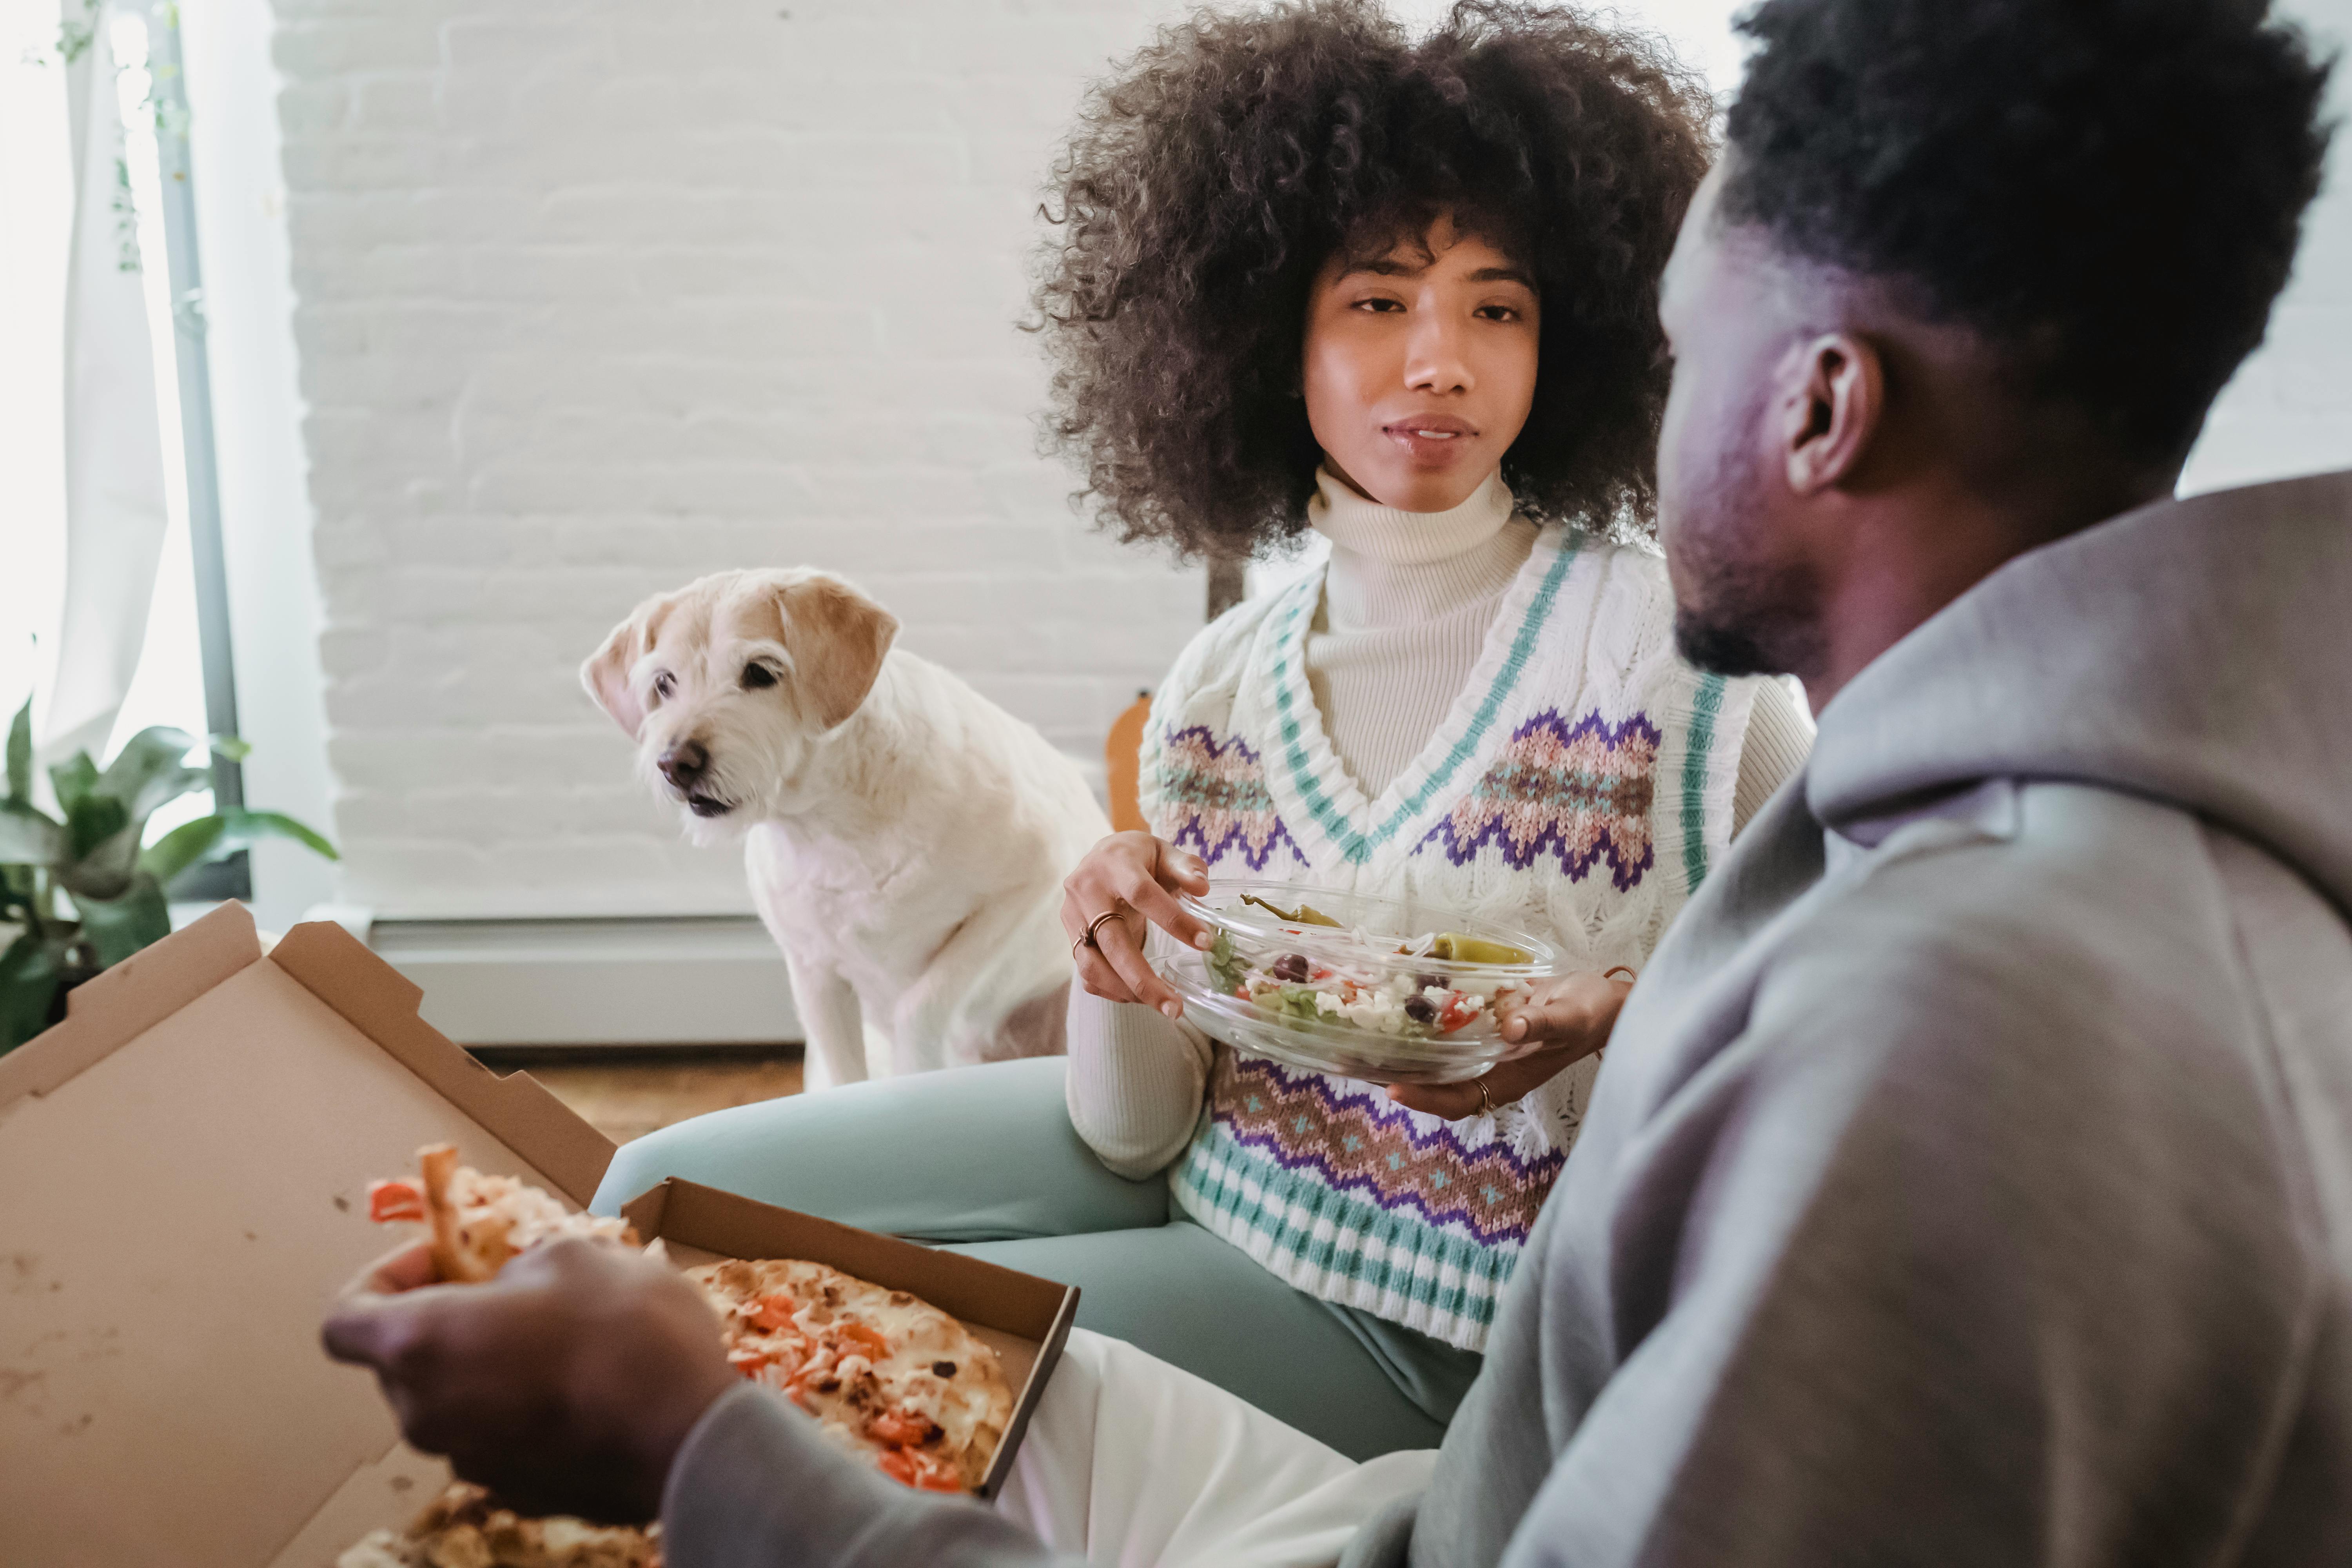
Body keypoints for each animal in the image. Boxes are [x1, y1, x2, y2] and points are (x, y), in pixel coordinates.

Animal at [583, 571, 1105, 1086]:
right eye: (664, 683)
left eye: (761, 672)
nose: (676, 764)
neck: (832, 819)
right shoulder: (815, 976)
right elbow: (843, 1072)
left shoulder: (1031, 881)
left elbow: (921, 1004)